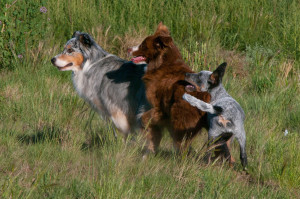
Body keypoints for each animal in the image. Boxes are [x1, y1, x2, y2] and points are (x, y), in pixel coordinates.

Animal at [129, 22, 211, 154]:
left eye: (142, 45)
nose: (129, 49)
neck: (163, 63)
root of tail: (207, 97)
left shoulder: (159, 105)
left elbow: (146, 118)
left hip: (180, 115)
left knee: (181, 143)